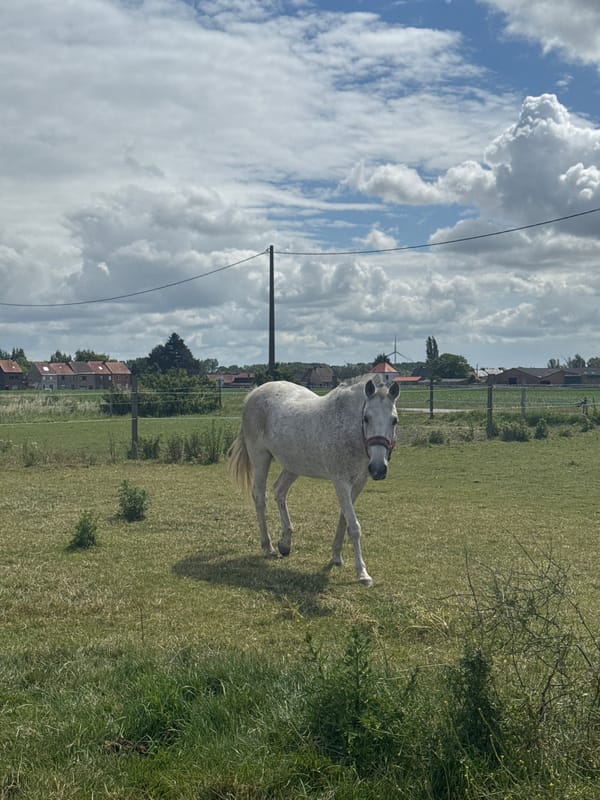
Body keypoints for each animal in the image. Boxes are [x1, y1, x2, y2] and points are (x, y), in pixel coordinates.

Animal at [228, 376, 399, 586]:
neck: (348, 428)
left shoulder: (358, 483)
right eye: (366, 418)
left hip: (293, 465)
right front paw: (362, 573)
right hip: (260, 458)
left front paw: (336, 557)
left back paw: (285, 543)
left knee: (279, 492)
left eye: (394, 420)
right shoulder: (341, 482)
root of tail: (253, 393)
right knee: (260, 497)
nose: (378, 469)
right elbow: (354, 526)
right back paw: (268, 547)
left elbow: (343, 519)